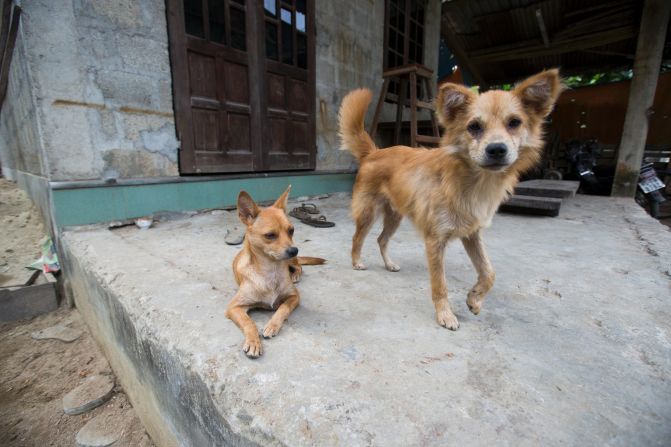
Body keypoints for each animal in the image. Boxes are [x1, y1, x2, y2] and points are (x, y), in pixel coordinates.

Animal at [227, 187, 326, 358]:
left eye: (291, 230)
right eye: (270, 235)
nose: (294, 250)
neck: (271, 270)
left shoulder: (294, 297)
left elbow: (282, 309)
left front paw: (272, 325)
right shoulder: (234, 307)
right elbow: (249, 322)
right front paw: (253, 342)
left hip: (292, 261)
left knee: (299, 266)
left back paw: (295, 275)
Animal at [338, 69, 564, 328]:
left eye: (514, 123)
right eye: (474, 126)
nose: (497, 149)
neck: (471, 182)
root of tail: (374, 152)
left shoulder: (472, 234)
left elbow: (489, 272)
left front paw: (474, 299)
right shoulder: (435, 241)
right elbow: (440, 284)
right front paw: (445, 314)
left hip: (395, 216)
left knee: (381, 239)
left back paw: (389, 264)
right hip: (368, 212)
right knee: (357, 238)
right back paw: (356, 261)